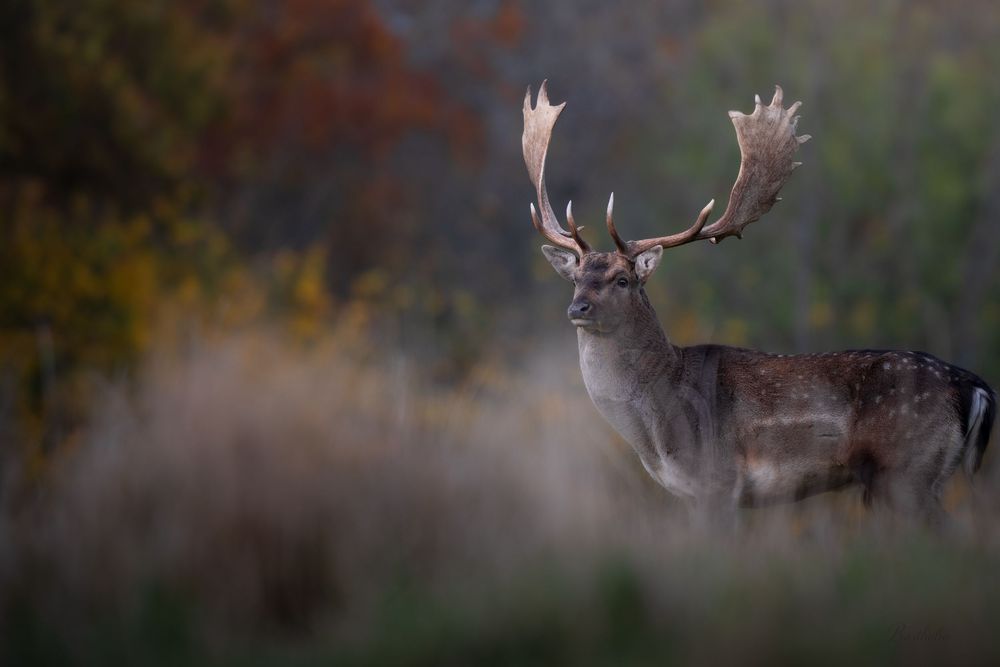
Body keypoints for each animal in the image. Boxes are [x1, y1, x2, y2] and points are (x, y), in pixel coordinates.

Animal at [523, 81, 996, 525]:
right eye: (575, 280)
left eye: (622, 280)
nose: (578, 309)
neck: (657, 432)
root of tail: (974, 386)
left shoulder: (716, 481)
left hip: (905, 472)